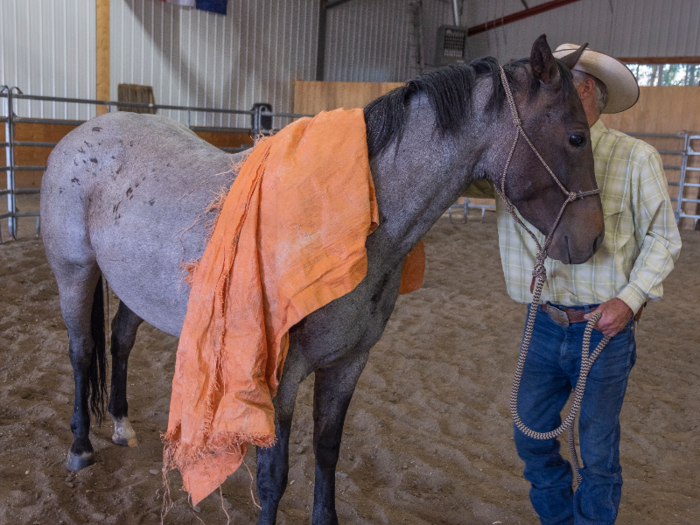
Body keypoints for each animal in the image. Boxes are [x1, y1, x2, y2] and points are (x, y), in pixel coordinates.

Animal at [41, 34, 604, 520]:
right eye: (576, 137)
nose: (594, 239)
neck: (347, 225)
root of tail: (81, 134)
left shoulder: (348, 364)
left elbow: (328, 452)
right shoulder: (277, 379)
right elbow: (273, 478)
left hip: (135, 290)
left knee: (120, 341)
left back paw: (120, 424)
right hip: (76, 274)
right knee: (81, 352)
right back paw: (80, 446)